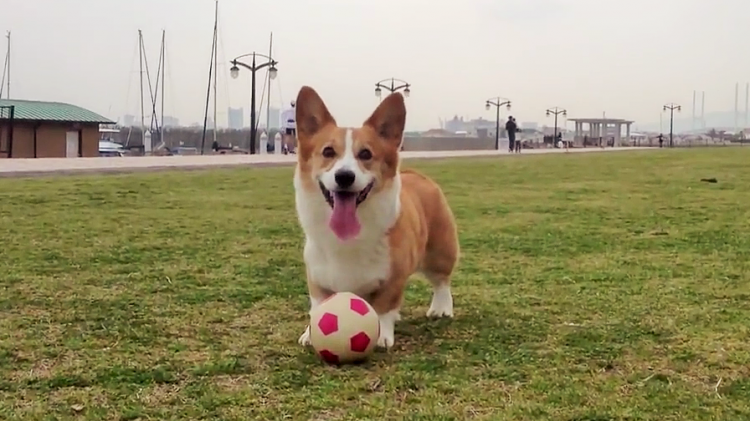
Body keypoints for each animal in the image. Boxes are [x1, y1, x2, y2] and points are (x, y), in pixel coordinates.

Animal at [292, 86, 458, 348]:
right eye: (328, 151)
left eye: (366, 154)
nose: (344, 176)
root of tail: (418, 174)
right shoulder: (317, 276)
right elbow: (318, 305)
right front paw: (311, 333)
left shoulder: (394, 276)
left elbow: (384, 307)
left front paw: (382, 335)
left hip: (439, 251)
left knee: (442, 280)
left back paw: (441, 309)